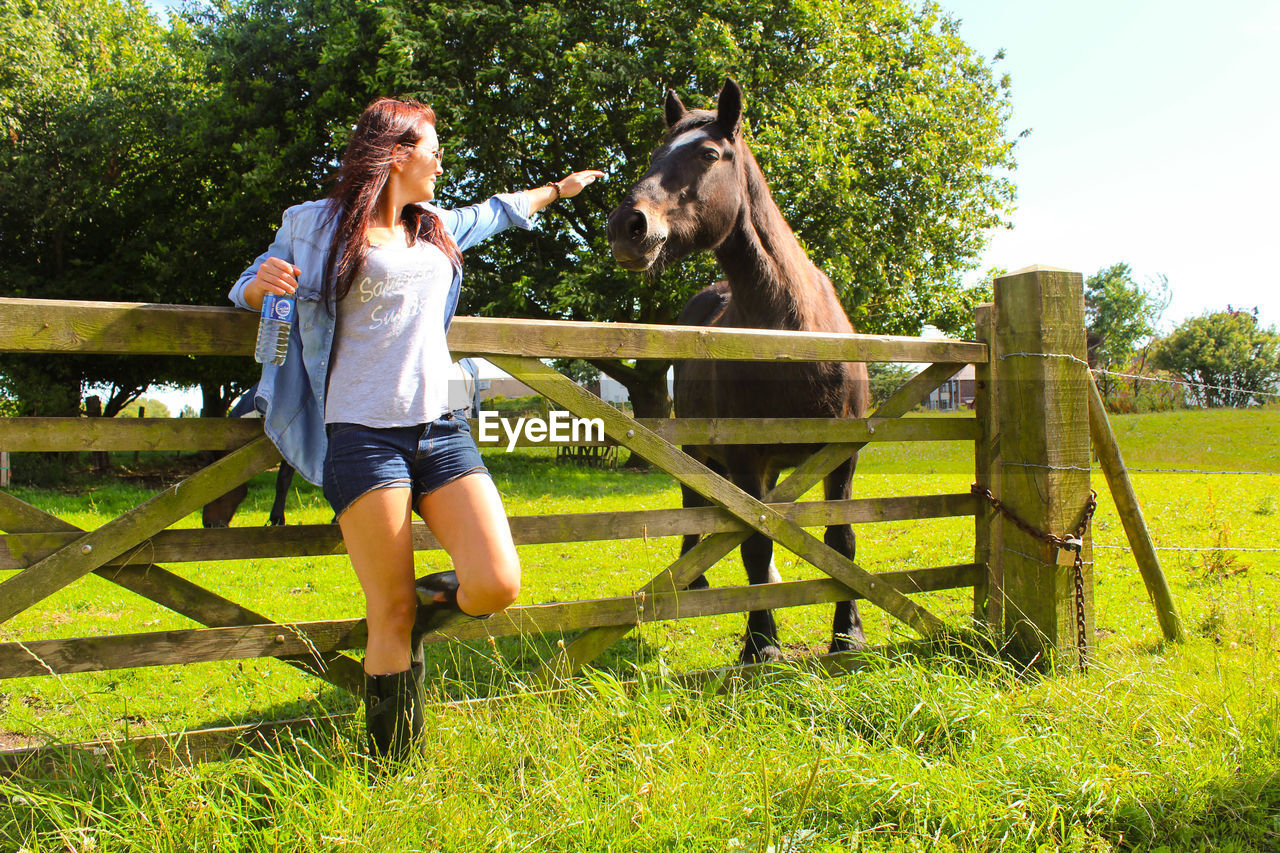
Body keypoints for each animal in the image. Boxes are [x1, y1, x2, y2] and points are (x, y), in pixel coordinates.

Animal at [606, 79, 870, 666]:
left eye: (708, 154)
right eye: (654, 154)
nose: (628, 226)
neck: (792, 337)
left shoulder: (841, 458)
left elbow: (841, 541)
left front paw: (849, 635)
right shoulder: (748, 458)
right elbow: (754, 541)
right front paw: (760, 643)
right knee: (695, 504)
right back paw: (696, 579)